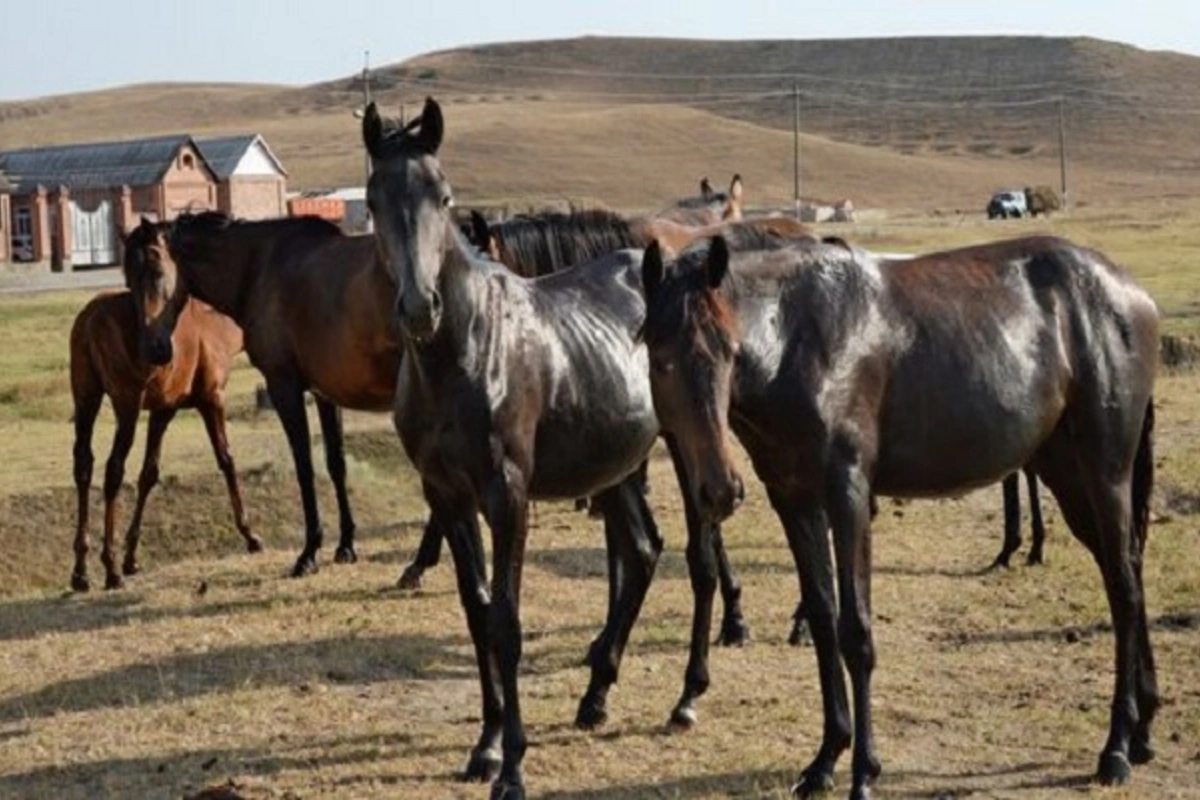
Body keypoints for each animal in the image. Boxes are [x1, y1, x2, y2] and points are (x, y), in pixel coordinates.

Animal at [70, 247, 260, 592]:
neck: (214, 321)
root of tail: (90, 321)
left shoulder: (163, 410)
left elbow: (149, 474)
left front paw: (132, 556)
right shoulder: (212, 399)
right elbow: (226, 460)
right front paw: (249, 534)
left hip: (86, 398)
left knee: (83, 465)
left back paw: (81, 570)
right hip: (126, 406)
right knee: (113, 470)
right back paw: (109, 566)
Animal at [360, 100, 763, 800]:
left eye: (444, 195)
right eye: (371, 199)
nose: (418, 308)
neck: (462, 355)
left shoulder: (508, 495)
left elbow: (507, 622)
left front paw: (513, 766)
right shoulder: (447, 493)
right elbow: (478, 612)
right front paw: (487, 744)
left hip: (689, 452)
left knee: (700, 560)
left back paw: (687, 696)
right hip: (620, 465)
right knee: (642, 551)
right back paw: (596, 693)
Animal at [643, 232, 1156, 800]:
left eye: (729, 352)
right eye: (660, 359)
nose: (719, 491)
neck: (799, 338)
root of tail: (1130, 292)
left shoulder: (847, 494)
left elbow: (856, 631)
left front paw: (863, 772)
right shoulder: (794, 500)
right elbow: (822, 618)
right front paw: (825, 760)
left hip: (1106, 473)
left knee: (1124, 592)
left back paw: (1115, 749)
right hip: (1066, 474)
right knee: (1128, 572)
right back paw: (1142, 732)